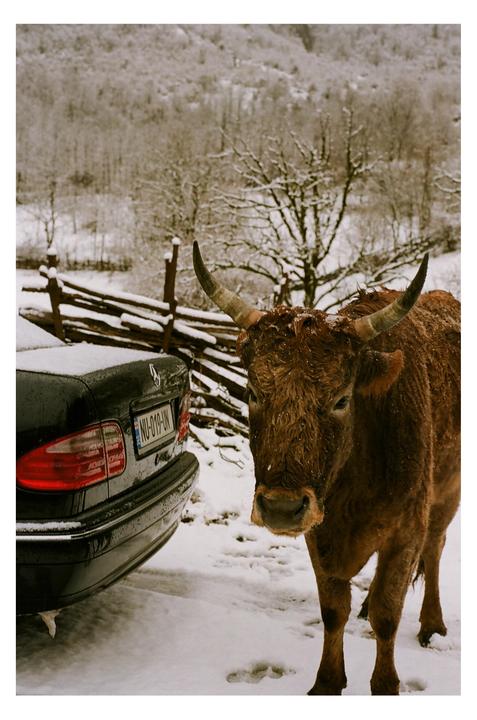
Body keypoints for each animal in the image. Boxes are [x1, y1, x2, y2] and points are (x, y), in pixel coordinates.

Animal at [193, 241, 460, 695]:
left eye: (341, 398)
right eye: (252, 392)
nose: (281, 507)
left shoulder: (406, 527)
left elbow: (389, 614)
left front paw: (385, 683)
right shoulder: (319, 532)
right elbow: (333, 609)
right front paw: (327, 682)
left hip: (448, 492)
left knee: (435, 548)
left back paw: (432, 623)